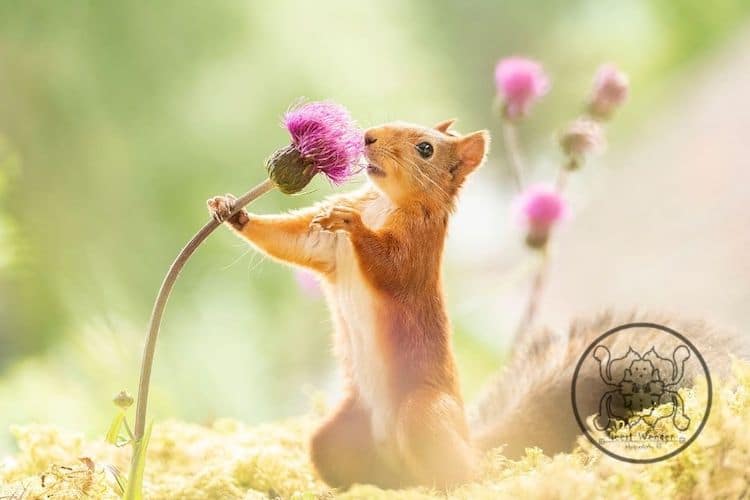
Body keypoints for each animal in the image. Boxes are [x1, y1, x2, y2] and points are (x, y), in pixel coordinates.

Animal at [207, 118, 750, 488]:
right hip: (338, 435)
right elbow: (293, 240)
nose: (367, 137)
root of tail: (474, 443)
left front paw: (353, 224)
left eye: (425, 148)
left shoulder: (416, 253)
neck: (384, 202)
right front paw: (231, 210)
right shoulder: (323, 247)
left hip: (424, 414)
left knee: (463, 476)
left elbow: (388, 266)